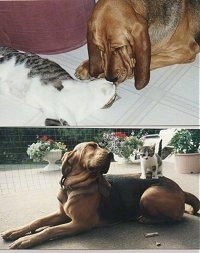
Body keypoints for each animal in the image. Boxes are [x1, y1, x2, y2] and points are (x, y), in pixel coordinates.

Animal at [1, 142, 198, 249]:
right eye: (91, 146)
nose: (110, 154)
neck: (74, 186)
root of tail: (180, 189)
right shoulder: (62, 214)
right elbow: (38, 221)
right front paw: (16, 232)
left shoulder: (80, 223)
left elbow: (49, 230)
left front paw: (26, 240)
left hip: (149, 193)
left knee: (176, 218)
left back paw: (147, 219)